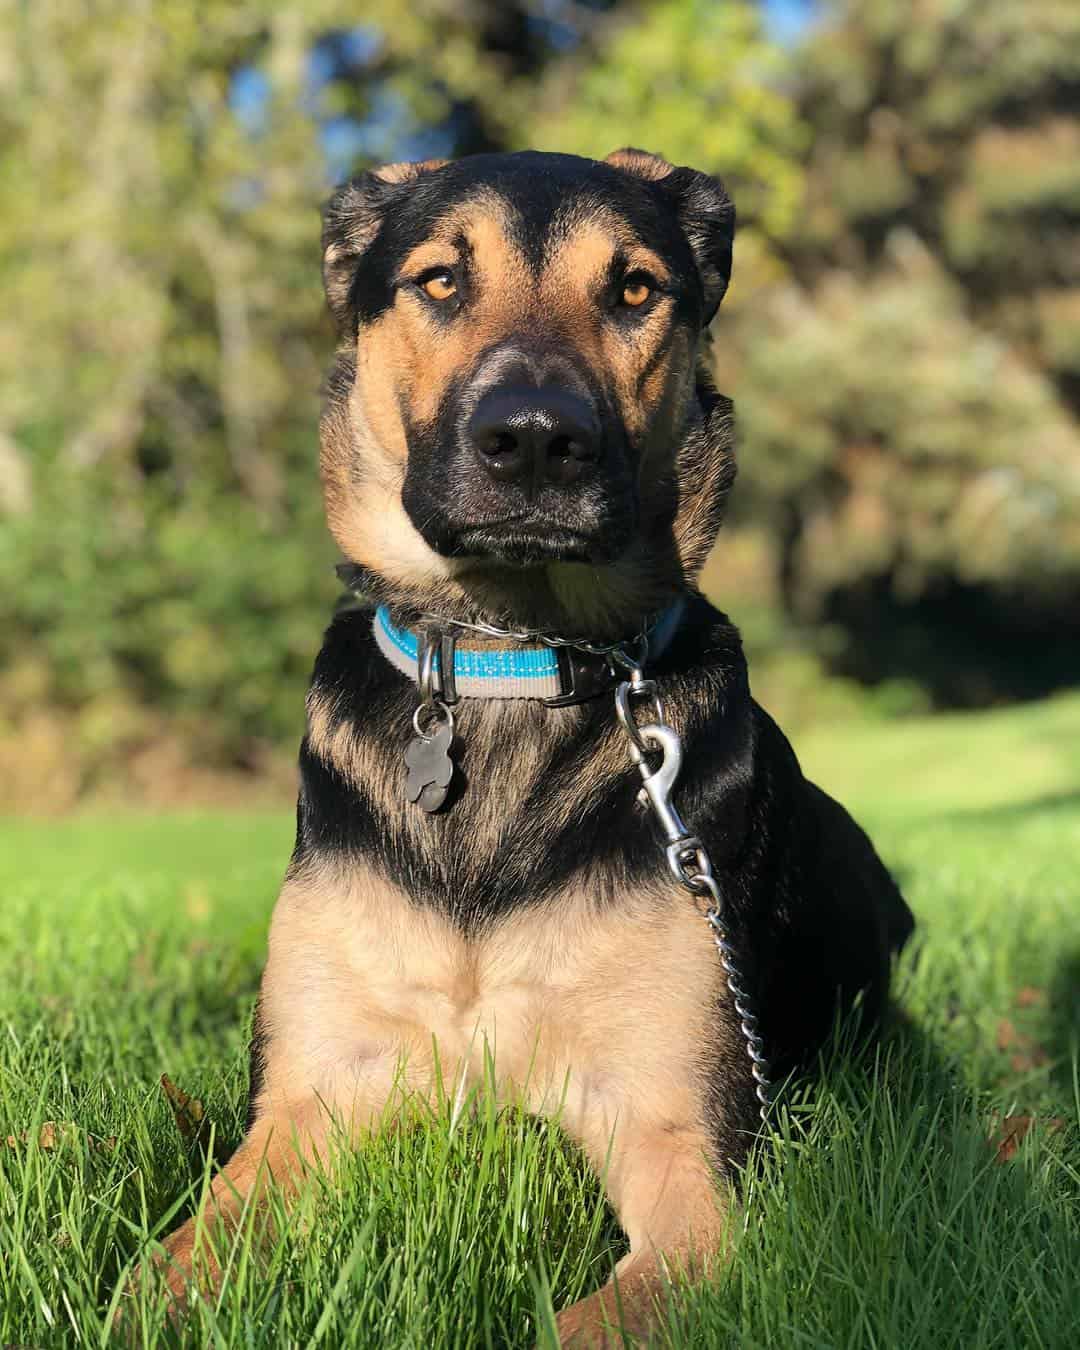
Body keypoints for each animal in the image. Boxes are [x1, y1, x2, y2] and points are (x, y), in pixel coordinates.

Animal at [149, 145, 912, 1339]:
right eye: (440, 281)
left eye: (635, 289)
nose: (540, 441)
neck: (510, 656)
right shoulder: (305, 1102)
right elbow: (175, 1261)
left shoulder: (680, 1144)